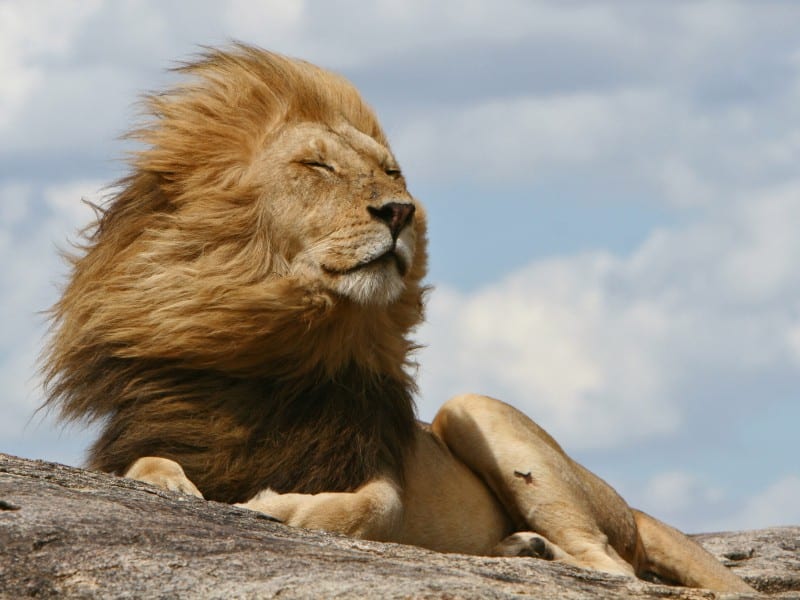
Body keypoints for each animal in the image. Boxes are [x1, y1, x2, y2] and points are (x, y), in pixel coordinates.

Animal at [43, 44, 754, 593]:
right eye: (318, 165)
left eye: (392, 172)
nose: (400, 211)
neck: (276, 349)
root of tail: (625, 501)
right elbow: (146, 467)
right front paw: (178, 490)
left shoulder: (379, 469)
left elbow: (371, 509)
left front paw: (277, 508)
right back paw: (517, 548)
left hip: (477, 412)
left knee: (612, 568)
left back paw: (536, 552)